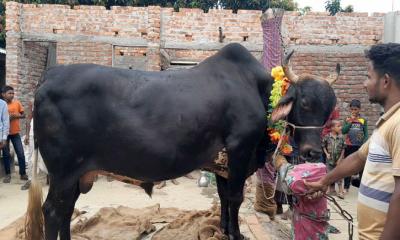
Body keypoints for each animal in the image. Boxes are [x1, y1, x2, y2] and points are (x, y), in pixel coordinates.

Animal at [25, 42, 338, 239]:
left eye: (330, 107)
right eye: (304, 103)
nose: (312, 153)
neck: (257, 89)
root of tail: (50, 74)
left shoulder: (223, 164)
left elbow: (224, 198)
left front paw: (224, 229)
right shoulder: (240, 150)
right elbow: (236, 198)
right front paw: (236, 234)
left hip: (74, 175)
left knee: (66, 211)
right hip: (63, 172)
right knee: (52, 211)